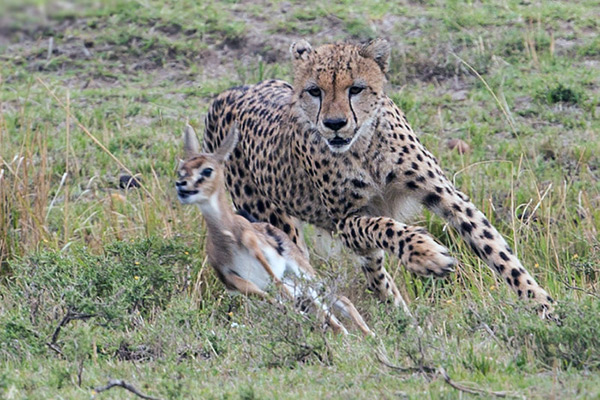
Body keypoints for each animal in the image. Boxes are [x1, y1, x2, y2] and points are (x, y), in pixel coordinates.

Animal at [200, 39, 552, 318]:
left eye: (355, 89)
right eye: (315, 91)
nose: (334, 124)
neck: (364, 148)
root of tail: (228, 92)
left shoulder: (444, 194)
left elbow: (494, 247)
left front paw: (543, 307)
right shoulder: (344, 221)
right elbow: (385, 227)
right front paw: (426, 255)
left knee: (374, 272)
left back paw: (400, 318)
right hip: (276, 225)